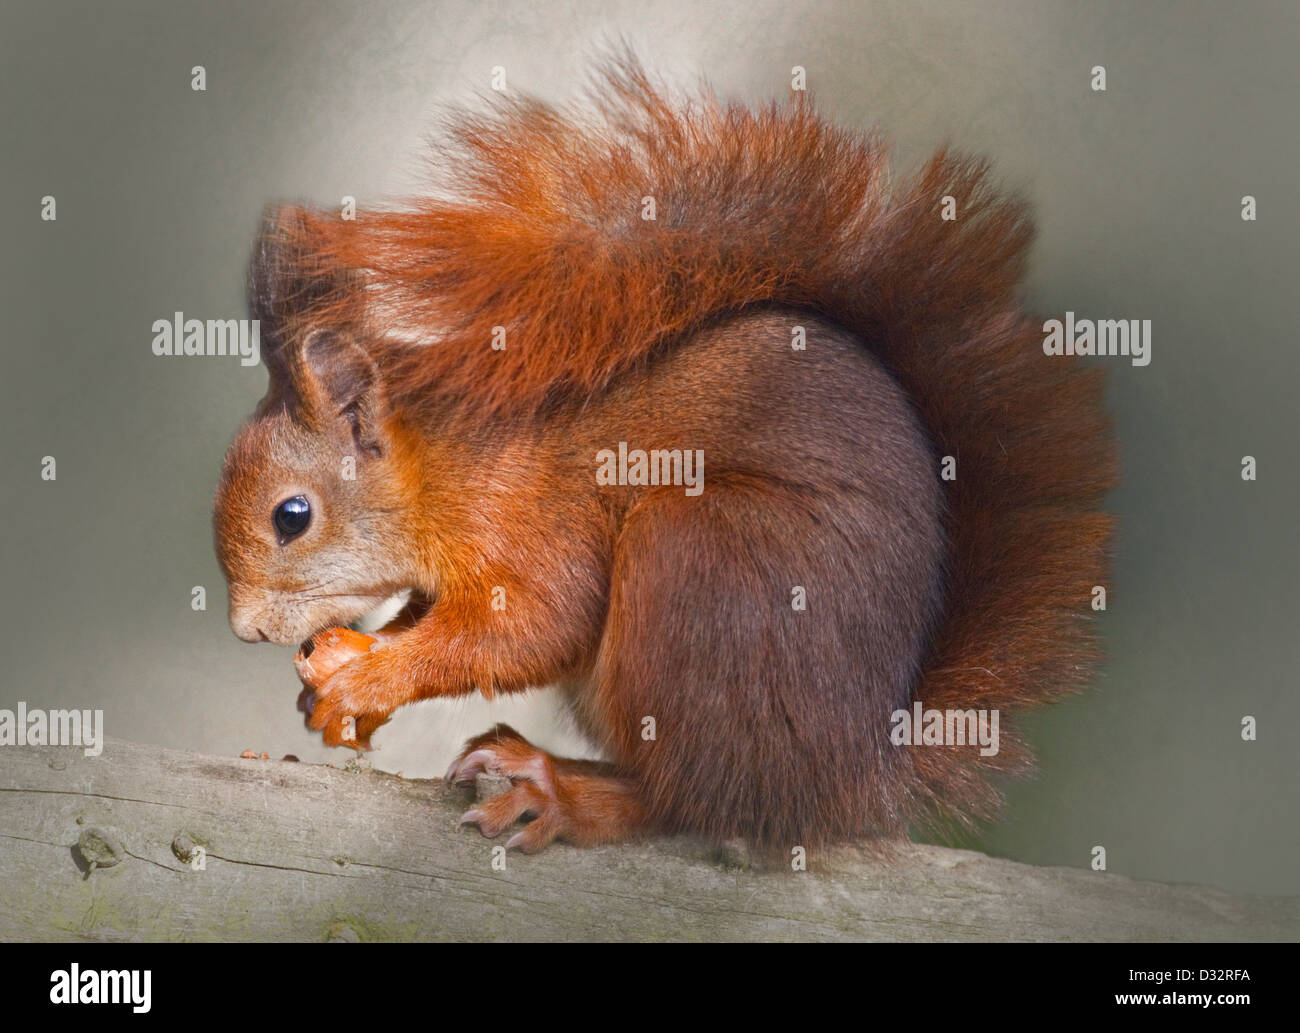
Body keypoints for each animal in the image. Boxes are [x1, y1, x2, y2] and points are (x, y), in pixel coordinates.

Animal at [213, 60, 1118, 862]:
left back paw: (562, 793)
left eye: (292, 516)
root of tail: (851, 773)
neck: (441, 462)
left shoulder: (531, 521)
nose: (246, 629)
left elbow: (530, 627)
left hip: (702, 563)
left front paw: (370, 679)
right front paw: (342, 686)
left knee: (695, 802)